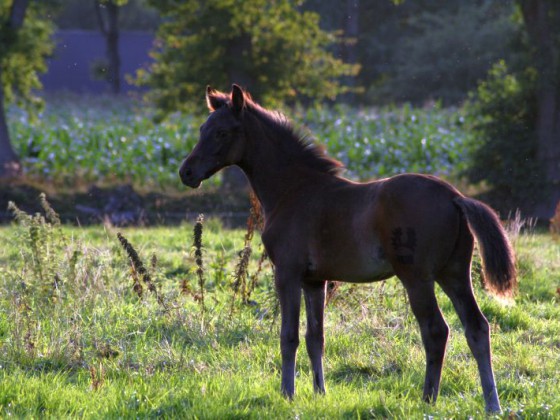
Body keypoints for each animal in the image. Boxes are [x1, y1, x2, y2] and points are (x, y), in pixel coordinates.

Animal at [179, 83, 516, 412]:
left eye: (222, 132)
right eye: (202, 128)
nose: (186, 172)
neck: (293, 190)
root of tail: (454, 196)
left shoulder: (287, 273)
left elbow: (289, 336)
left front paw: (287, 394)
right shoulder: (315, 280)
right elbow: (315, 337)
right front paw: (319, 393)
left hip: (417, 277)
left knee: (436, 330)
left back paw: (428, 399)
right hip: (454, 273)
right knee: (477, 327)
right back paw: (492, 404)